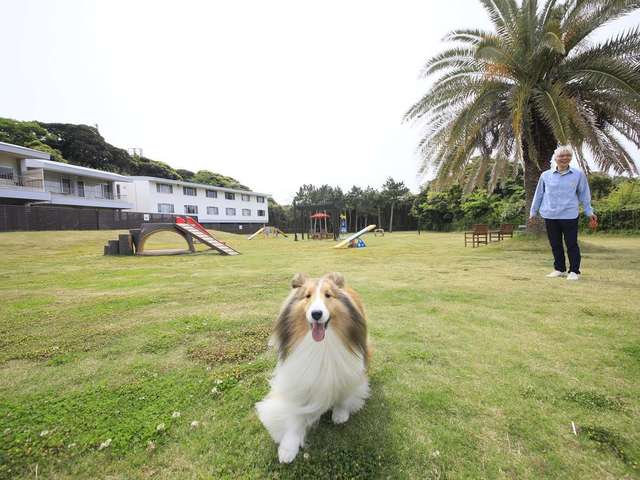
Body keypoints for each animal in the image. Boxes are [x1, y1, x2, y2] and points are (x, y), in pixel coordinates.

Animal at [255, 272, 370, 464]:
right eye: (307, 296)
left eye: (328, 295)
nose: (316, 314)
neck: (321, 345)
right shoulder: (299, 378)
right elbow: (294, 413)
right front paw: (288, 447)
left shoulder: (350, 370)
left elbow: (344, 396)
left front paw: (340, 413)